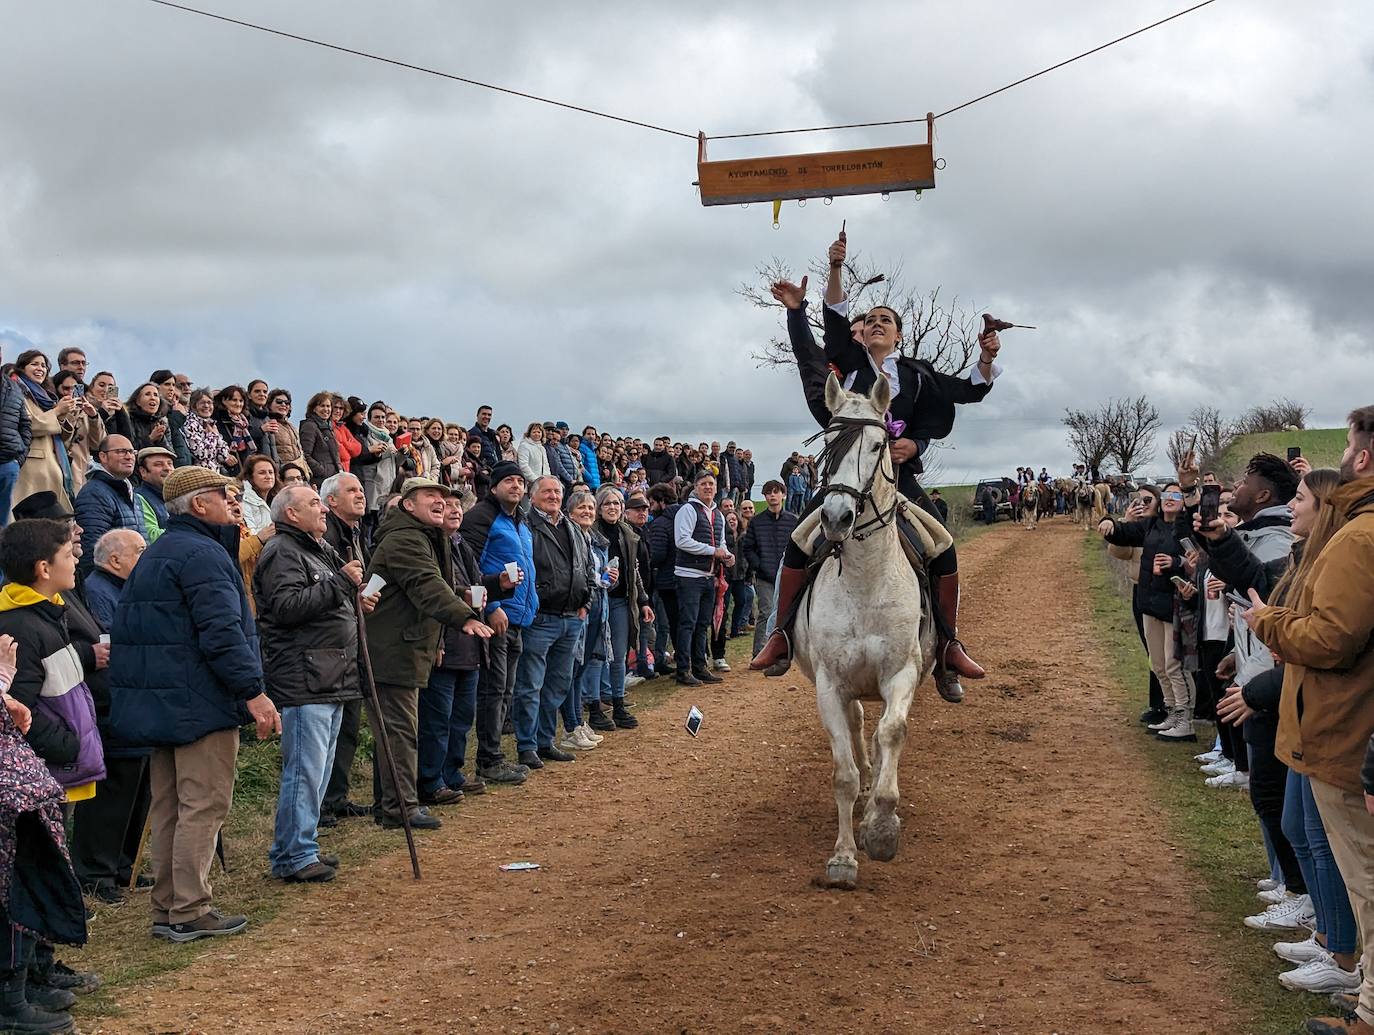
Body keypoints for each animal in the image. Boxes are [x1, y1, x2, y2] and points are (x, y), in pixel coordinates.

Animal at [791, 376, 939, 890]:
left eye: (879, 446)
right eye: (828, 445)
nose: (836, 518)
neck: (865, 580)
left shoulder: (901, 673)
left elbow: (892, 731)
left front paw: (882, 828)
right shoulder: (830, 685)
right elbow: (843, 774)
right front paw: (843, 857)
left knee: (876, 735)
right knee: (858, 731)